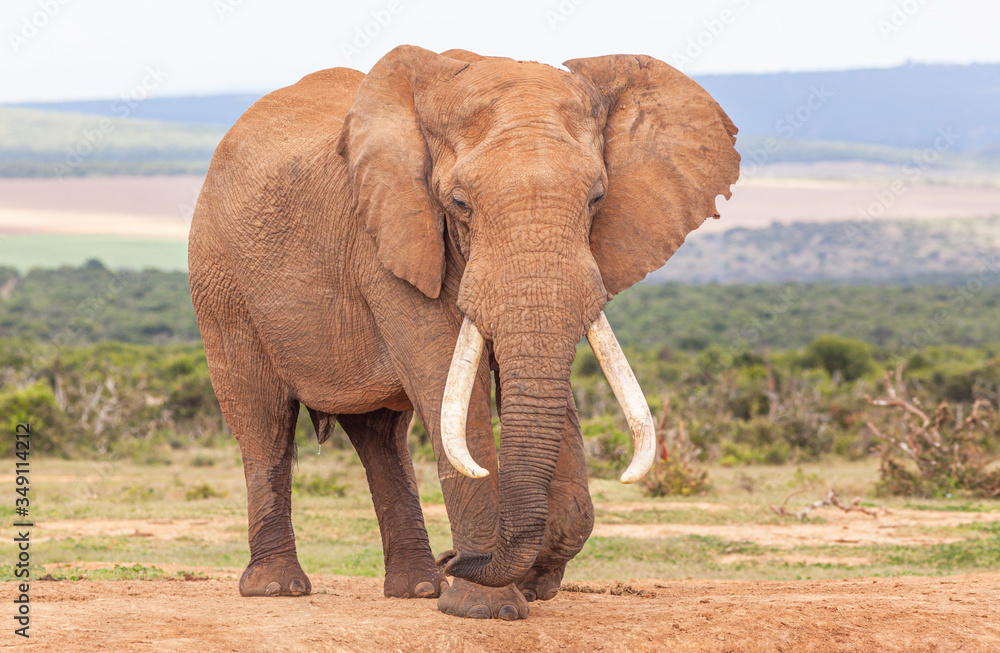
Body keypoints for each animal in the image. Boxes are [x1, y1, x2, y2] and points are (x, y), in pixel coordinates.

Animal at [188, 45, 739, 620]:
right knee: (264, 421)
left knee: (381, 434)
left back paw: (419, 588)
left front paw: (530, 584)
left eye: (596, 199)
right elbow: (452, 394)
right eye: (459, 204)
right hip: (220, 279)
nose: (455, 558)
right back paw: (278, 588)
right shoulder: (388, 241)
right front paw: (486, 608)